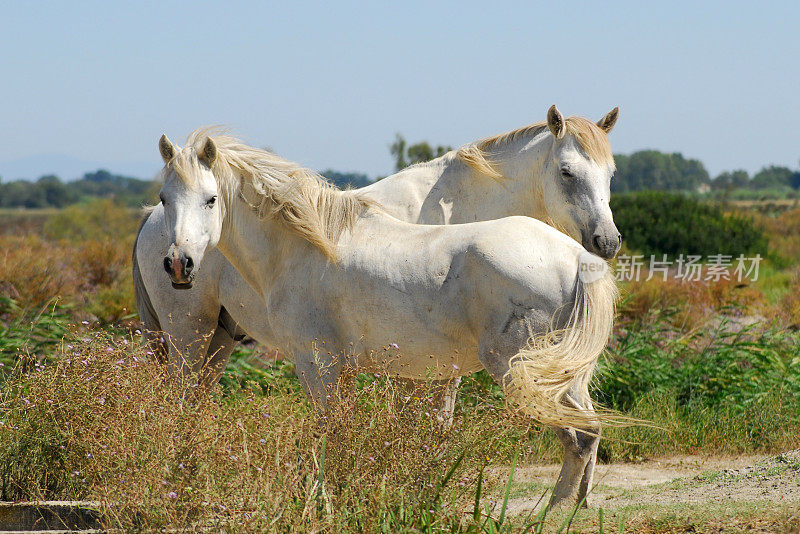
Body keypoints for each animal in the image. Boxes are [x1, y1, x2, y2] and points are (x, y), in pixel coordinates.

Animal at [133, 105, 620, 390]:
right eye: (567, 172)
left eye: (611, 173)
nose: (608, 241)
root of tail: (150, 224)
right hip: (187, 335)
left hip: (217, 339)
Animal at [155, 131, 620, 510]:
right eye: (164, 198)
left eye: (211, 199)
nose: (179, 264)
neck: (306, 247)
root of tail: (576, 257)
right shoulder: (337, 369)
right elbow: (340, 434)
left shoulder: (317, 365)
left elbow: (328, 434)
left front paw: (323, 504)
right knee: (589, 429)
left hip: (522, 371)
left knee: (579, 436)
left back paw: (554, 513)